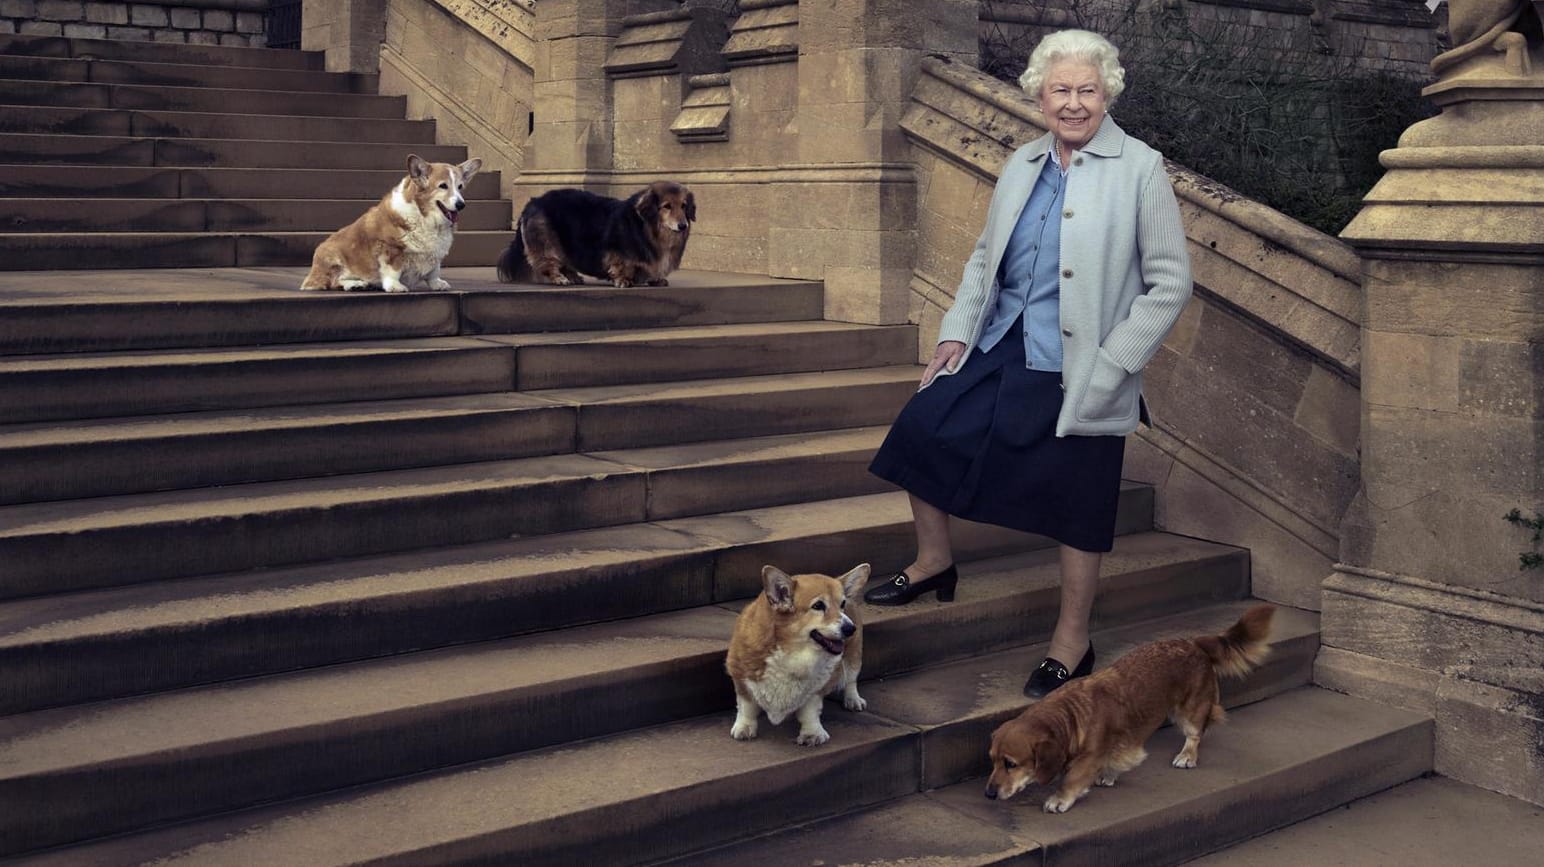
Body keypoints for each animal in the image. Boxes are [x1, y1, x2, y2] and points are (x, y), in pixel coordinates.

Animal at [294, 153, 475, 291]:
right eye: (443, 186)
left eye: (460, 187)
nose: (461, 205)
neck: (425, 217)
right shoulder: (390, 248)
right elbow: (392, 270)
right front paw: (395, 286)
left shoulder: (435, 254)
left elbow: (434, 271)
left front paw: (437, 283)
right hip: (332, 256)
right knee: (333, 281)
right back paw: (354, 284)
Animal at [494, 178, 694, 286]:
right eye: (666, 206)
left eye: (684, 206)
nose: (683, 225)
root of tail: (533, 202)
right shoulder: (617, 253)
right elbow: (622, 266)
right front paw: (623, 280)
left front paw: (657, 279)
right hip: (547, 244)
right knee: (548, 263)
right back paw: (560, 278)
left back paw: (573, 276)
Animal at [725, 561, 870, 743]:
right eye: (818, 605)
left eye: (842, 604)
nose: (851, 628)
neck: (794, 652)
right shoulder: (741, 677)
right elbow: (746, 706)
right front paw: (744, 727)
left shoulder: (815, 691)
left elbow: (810, 711)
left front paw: (812, 733)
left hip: (853, 656)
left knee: (851, 679)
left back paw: (853, 699)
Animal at [981, 601, 1272, 808]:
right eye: (992, 761)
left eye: (1011, 764)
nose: (989, 794)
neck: (1071, 715)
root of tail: (1194, 643)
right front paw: (1109, 774)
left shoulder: (1091, 755)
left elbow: (1074, 777)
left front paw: (1060, 798)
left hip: (1188, 711)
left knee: (1196, 733)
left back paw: (1188, 755)